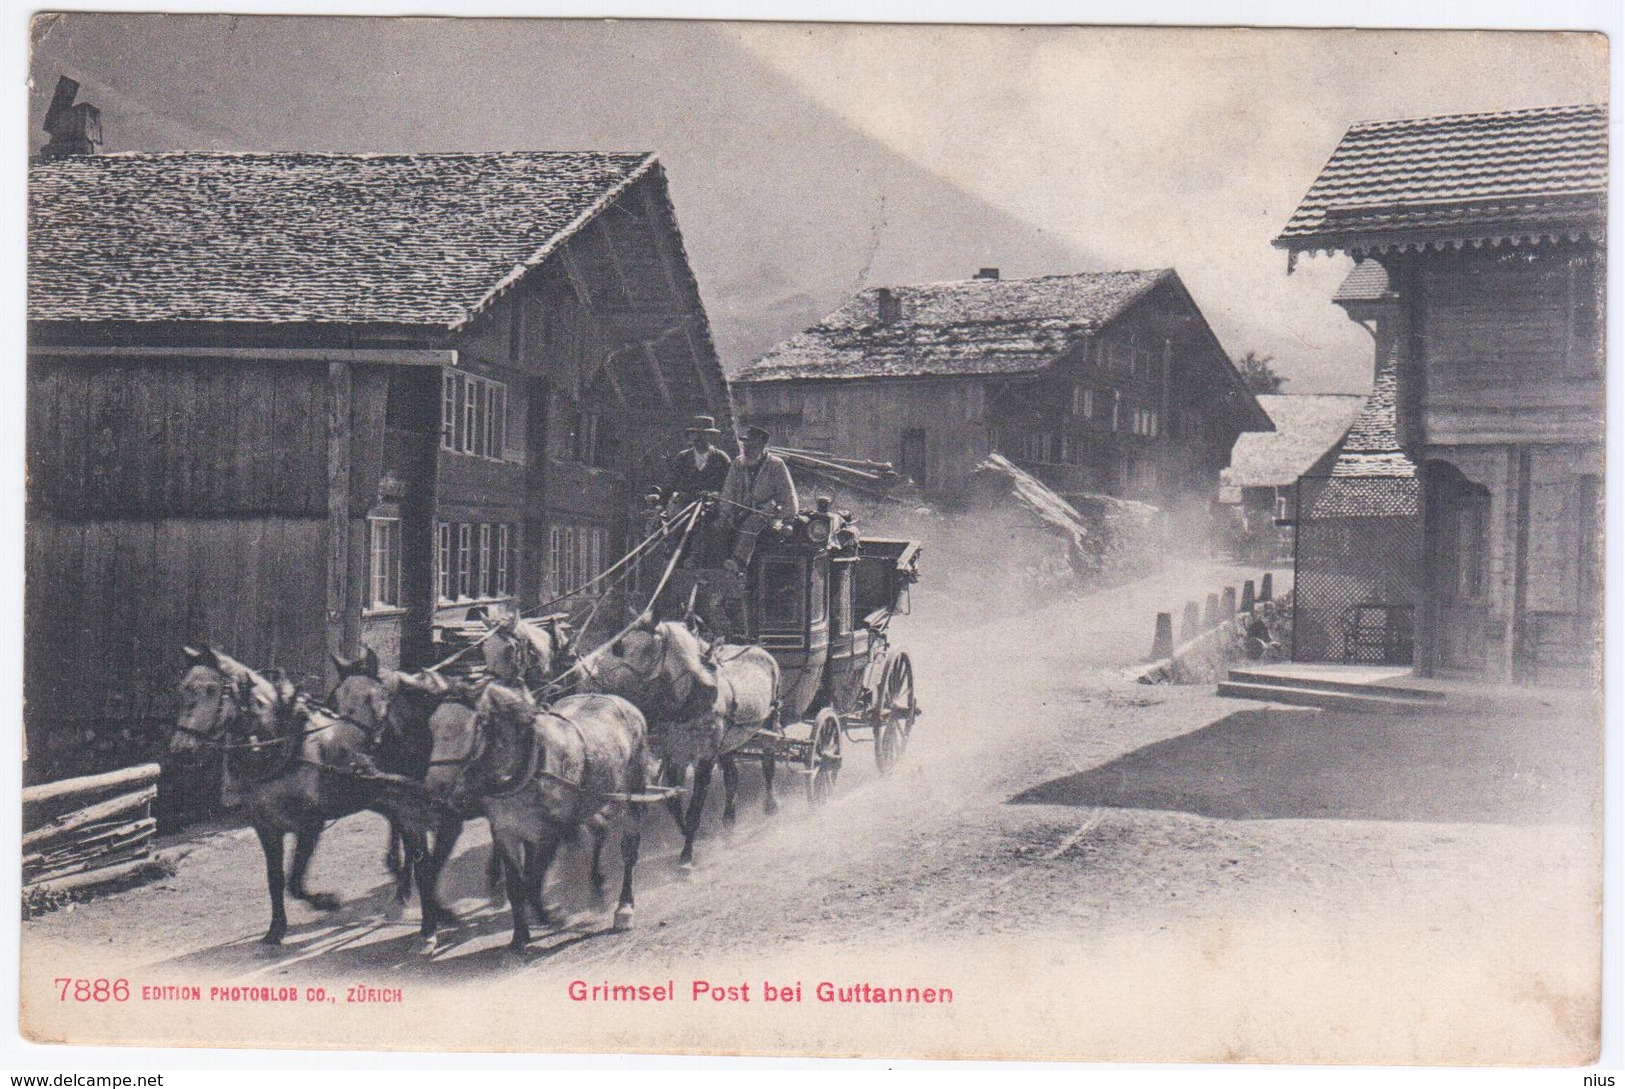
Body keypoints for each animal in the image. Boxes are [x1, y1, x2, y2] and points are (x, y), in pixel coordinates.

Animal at [169, 650, 448, 949]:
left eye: (213, 690)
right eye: (182, 690)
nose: (180, 749)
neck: (285, 747)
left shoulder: (309, 824)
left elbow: (294, 881)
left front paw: (328, 901)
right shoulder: (266, 828)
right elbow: (275, 880)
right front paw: (275, 930)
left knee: (416, 846)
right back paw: (401, 887)